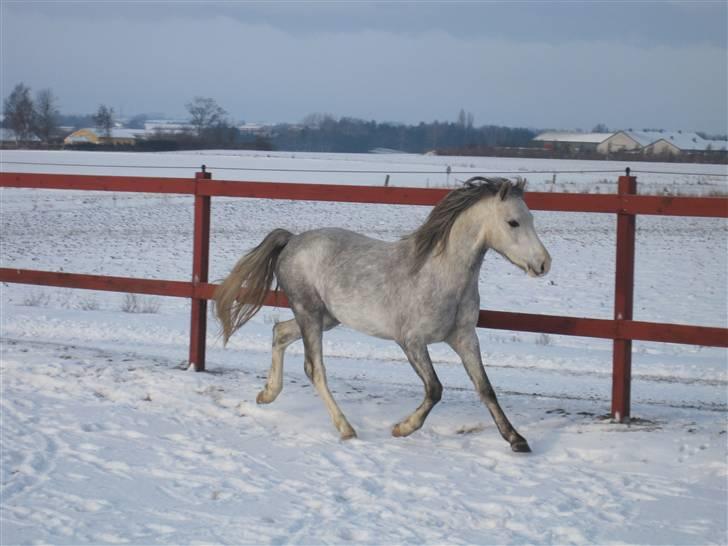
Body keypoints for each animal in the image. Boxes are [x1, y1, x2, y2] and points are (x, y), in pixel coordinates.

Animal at [214, 177, 551, 452]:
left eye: (530, 218)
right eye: (513, 222)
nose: (544, 264)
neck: (442, 276)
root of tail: (292, 240)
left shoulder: (465, 338)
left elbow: (486, 389)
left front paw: (517, 440)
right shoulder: (411, 341)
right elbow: (435, 389)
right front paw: (402, 428)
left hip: (326, 317)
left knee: (280, 332)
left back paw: (267, 394)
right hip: (308, 312)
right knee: (314, 368)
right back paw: (346, 428)